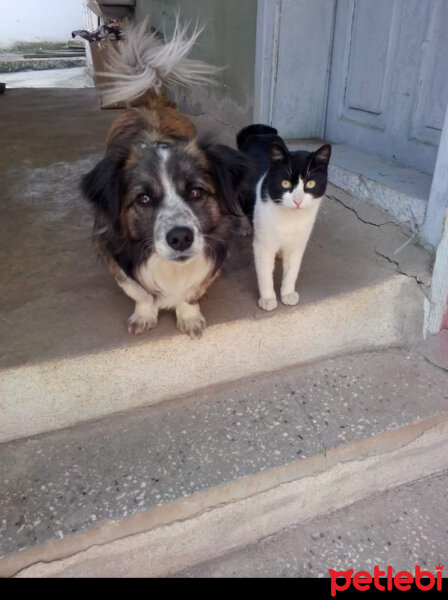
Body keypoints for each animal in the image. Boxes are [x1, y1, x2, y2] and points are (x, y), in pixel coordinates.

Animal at [81, 19, 252, 338]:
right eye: (143, 198)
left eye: (196, 192)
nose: (181, 238)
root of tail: (151, 99)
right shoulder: (112, 254)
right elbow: (138, 291)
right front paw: (144, 315)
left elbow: (192, 292)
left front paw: (188, 317)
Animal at [236, 127, 330, 314]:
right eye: (285, 183)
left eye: (310, 184)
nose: (298, 200)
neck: (290, 219)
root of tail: (259, 133)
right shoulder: (263, 245)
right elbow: (265, 273)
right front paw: (268, 298)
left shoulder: (298, 244)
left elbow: (292, 270)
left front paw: (287, 293)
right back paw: (244, 226)